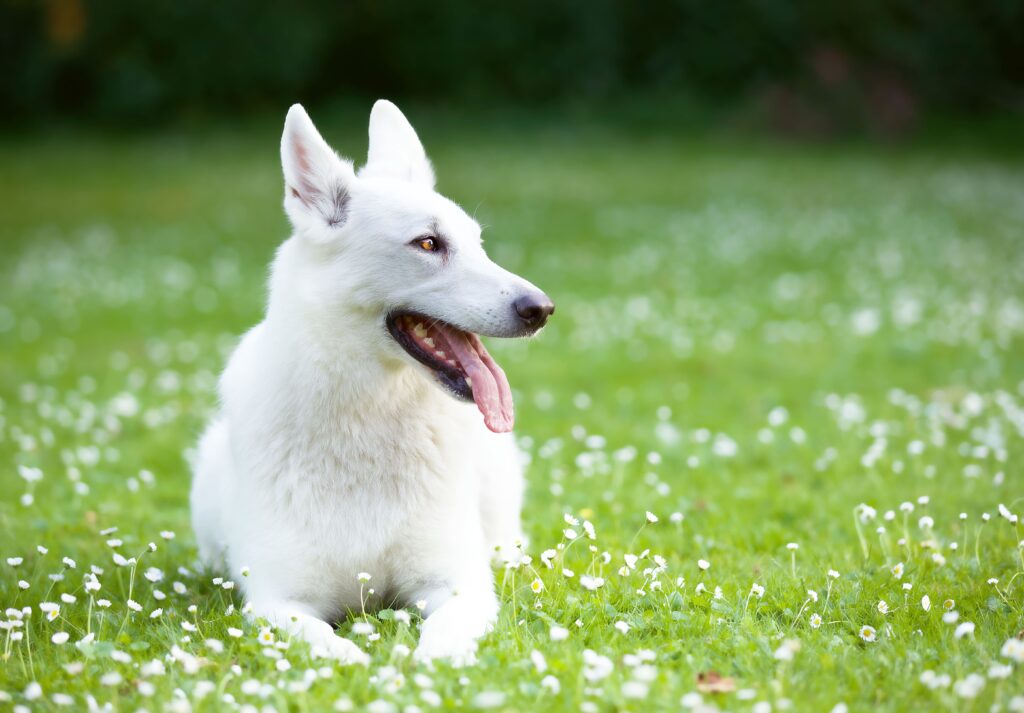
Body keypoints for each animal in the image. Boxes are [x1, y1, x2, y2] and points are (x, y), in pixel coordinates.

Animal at [184, 98, 552, 663]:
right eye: (428, 242)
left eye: (479, 243)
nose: (541, 310)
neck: (366, 419)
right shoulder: (277, 602)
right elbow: (331, 647)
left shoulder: (460, 586)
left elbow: (440, 641)